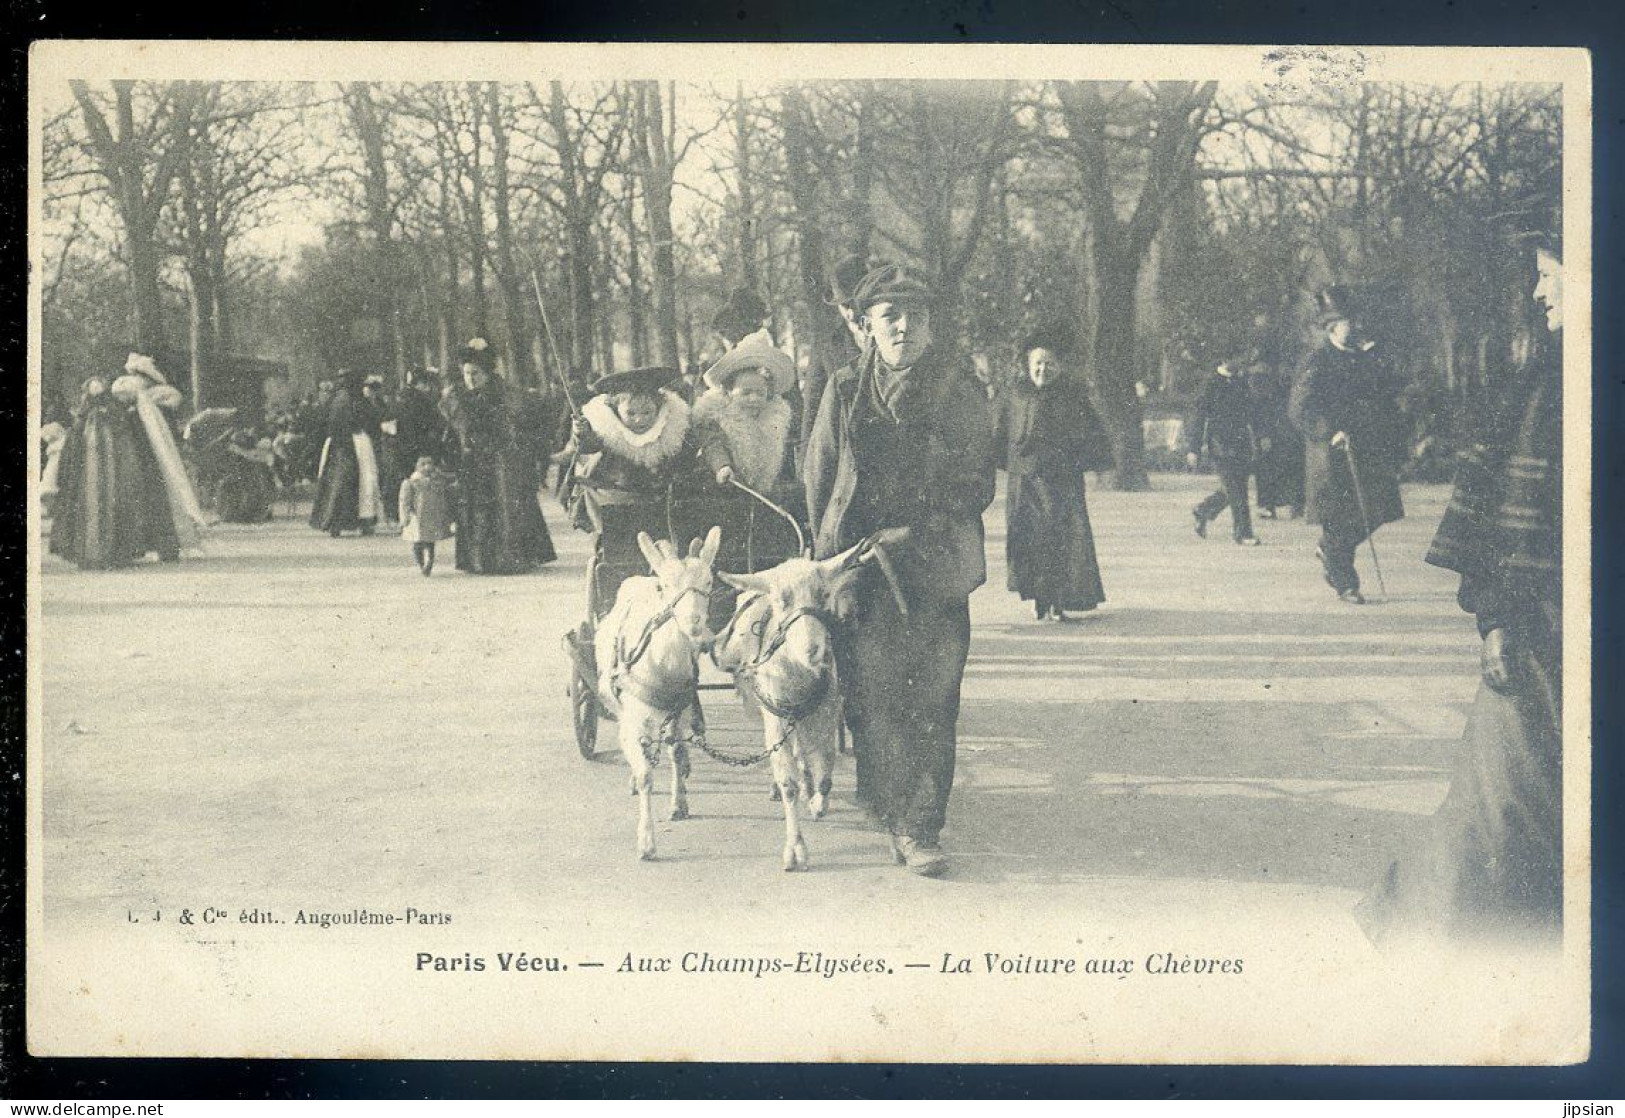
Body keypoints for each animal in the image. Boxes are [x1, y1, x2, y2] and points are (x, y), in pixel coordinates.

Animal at [594, 529, 721, 858]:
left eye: (709, 581)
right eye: (665, 586)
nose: (694, 622)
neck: (660, 665)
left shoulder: (680, 710)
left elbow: (676, 751)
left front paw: (679, 804)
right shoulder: (631, 716)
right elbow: (645, 775)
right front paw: (646, 842)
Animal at [718, 542, 884, 871]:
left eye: (823, 595)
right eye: (782, 600)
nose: (813, 649)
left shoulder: (827, 712)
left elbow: (826, 765)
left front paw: (819, 801)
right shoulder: (775, 718)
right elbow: (788, 784)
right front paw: (795, 850)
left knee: (804, 750)